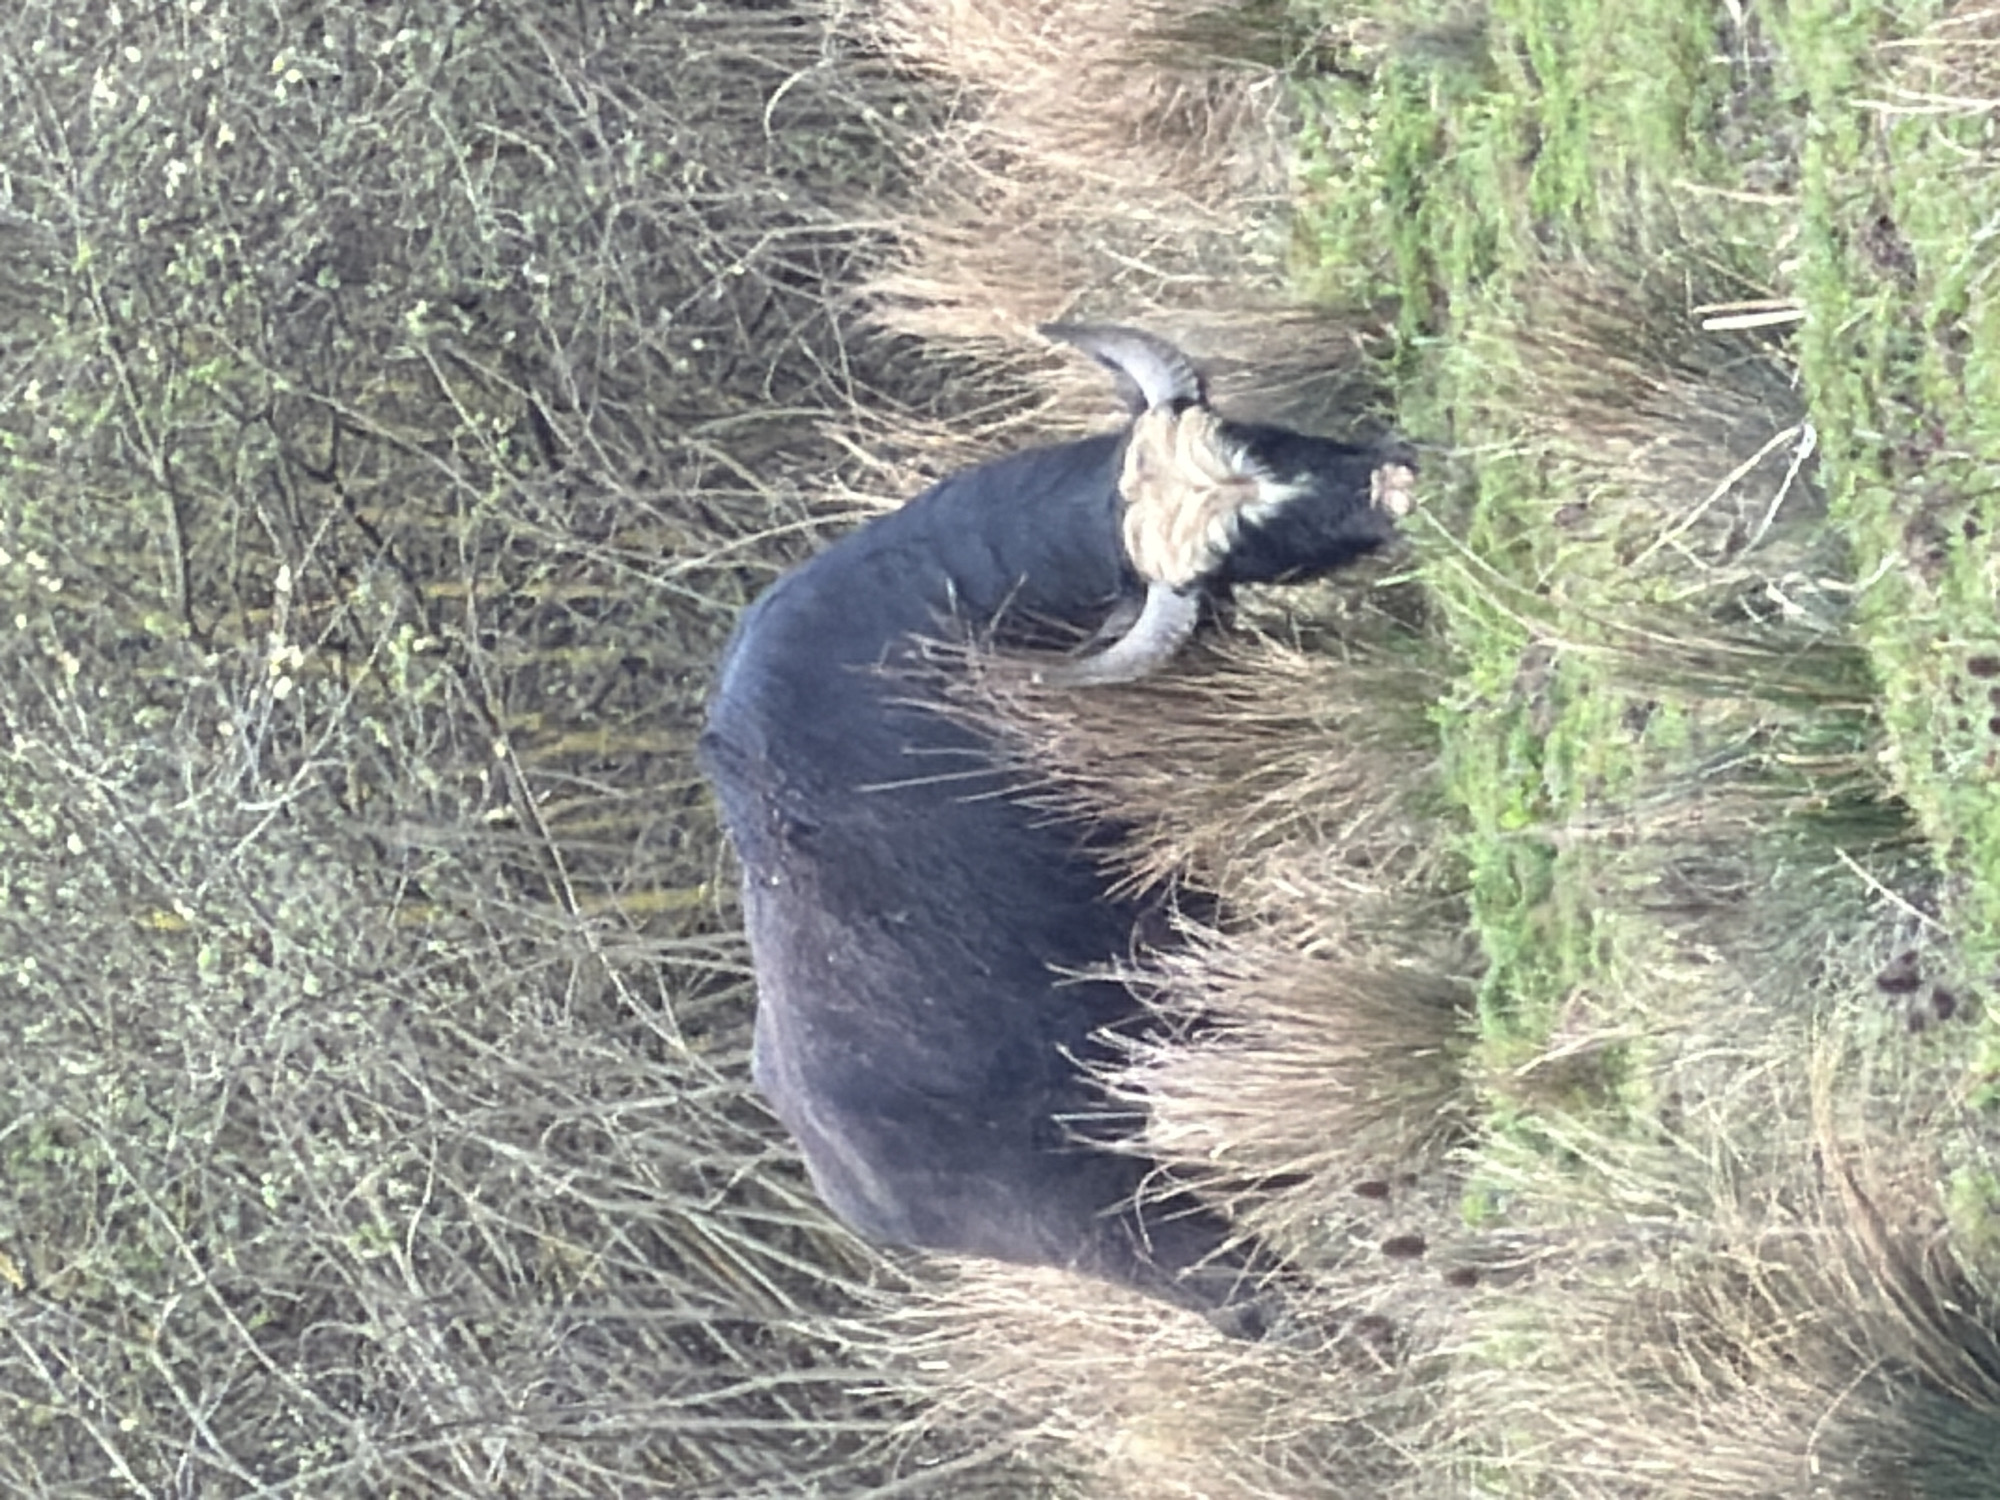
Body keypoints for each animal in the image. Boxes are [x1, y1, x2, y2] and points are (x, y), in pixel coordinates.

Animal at [698, 325, 1413, 1336]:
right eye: (1243, 552)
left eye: (1258, 437)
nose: (1391, 482)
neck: (942, 622)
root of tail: (845, 1176)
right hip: (1120, 1218)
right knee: (1247, 1299)